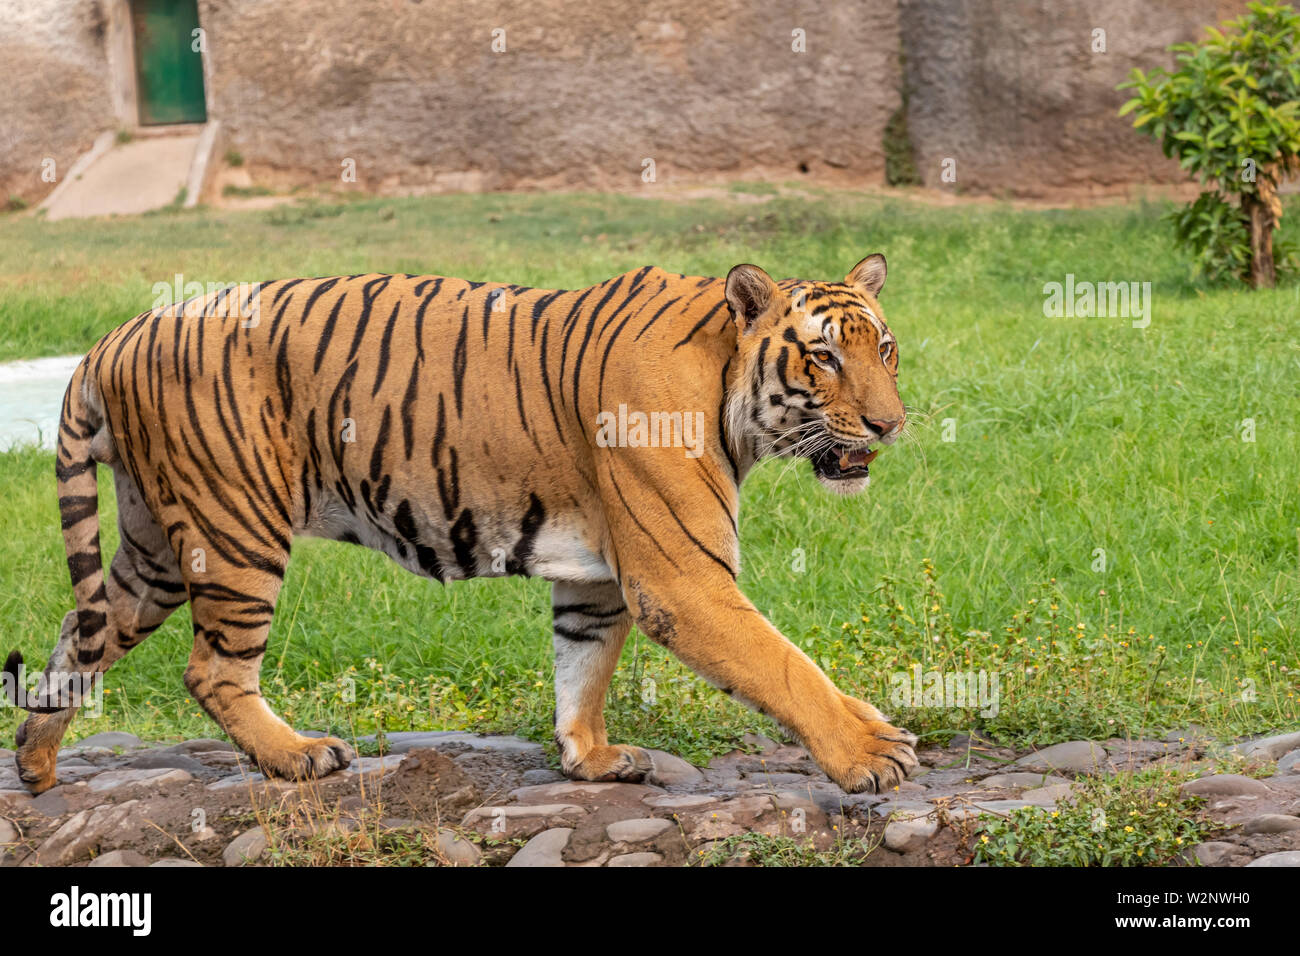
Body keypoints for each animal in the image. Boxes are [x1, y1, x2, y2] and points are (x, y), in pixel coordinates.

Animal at [5, 251, 920, 796]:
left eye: (885, 349)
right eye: (824, 357)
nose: (890, 425)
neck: (730, 391)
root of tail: (113, 337)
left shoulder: (598, 579)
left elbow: (582, 666)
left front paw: (591, 759)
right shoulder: (680, 578)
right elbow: (786, 667)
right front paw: (871, 753)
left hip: (157, 545)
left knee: (79, 635)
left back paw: (37, 763)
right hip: (235, 529)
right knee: (212, 671)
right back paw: (297, 755)